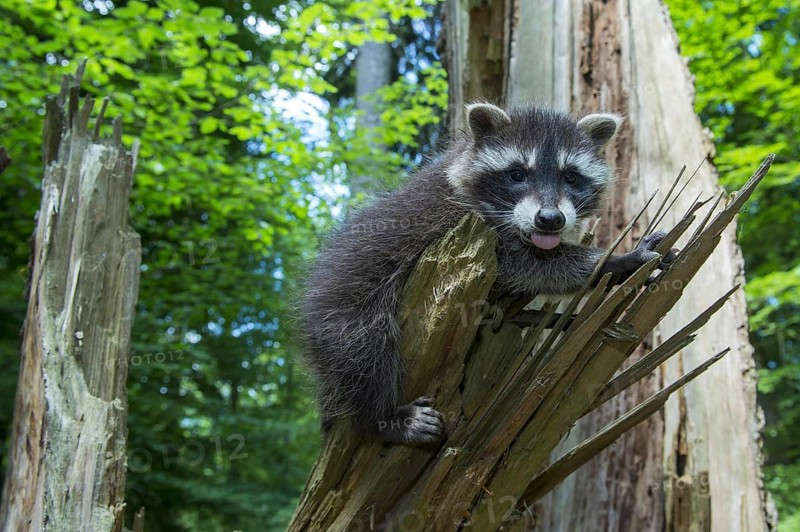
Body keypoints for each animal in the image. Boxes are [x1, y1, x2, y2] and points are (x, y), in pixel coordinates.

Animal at [302, 103, 672, 445]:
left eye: (571, 176)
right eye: (517, 174)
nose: (550, 220)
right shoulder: (458, 218)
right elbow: (533, 267)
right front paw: (616, 259)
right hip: (347, 311)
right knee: (364, 351)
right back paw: (382, 417)